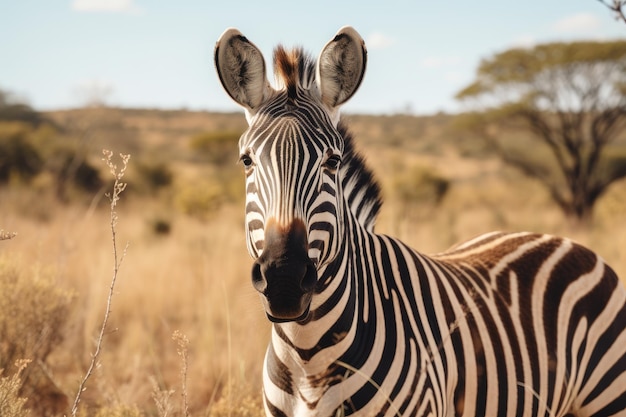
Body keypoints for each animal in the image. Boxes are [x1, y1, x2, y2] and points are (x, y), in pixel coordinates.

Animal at [214, 26, 624, 416]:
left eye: (332, 161)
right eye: (247, 161)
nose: (284, 279)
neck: (308, 358)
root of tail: (567, 241)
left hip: (609, 397)